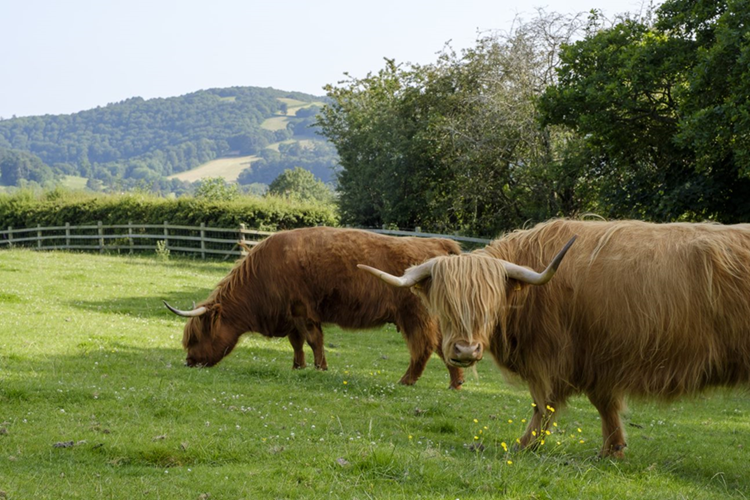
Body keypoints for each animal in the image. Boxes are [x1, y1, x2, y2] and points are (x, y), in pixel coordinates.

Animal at [167, 227, 468, 386]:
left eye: (195, 336)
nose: (189, 361)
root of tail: (439, 243)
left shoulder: (303, 311)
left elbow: (314, 341)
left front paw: (320, 368)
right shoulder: (291, 316)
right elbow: (297, 343)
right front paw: (298, 367)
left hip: (415, 316)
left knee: (423, 346)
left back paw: (407, 380)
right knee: (443, 345)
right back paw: (456, 383)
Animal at [358, 219, 750, 458]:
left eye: (489, 303)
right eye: (445, 302)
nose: (465, 350)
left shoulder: (553, 357)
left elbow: (543, 404)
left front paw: (523, 445)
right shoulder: (596, 361)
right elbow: (604, 404)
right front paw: (612, 450)